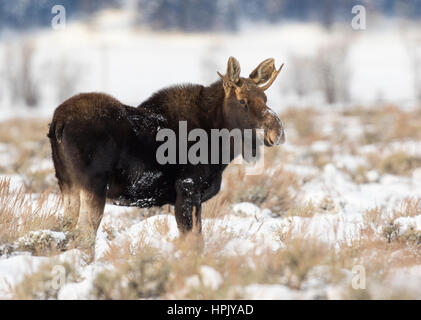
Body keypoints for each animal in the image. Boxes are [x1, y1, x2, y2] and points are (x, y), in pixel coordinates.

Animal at [49, 56, 286, 241]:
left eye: (265, 98)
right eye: (243, 101)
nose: (277, 132)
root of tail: (58, 122)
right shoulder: (187, 189)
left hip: (67, 183)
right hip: (93, 185)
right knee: (84, 237)